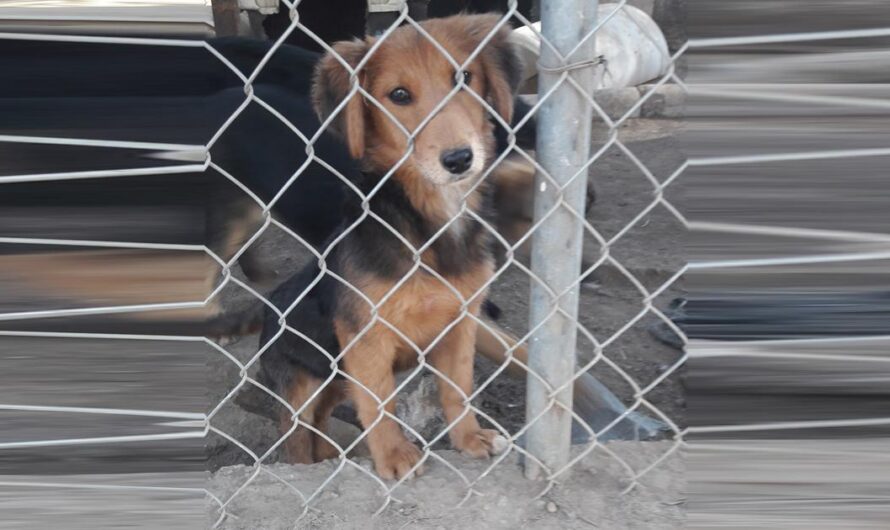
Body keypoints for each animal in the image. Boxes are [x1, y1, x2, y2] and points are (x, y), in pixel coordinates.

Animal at [256, 14, 520, 476]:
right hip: (301, 386)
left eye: (463, 78)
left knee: (321, 425)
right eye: (399, 95)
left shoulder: (460, 321)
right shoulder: (367, 336)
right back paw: (306, 467)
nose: (459, 159)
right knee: (297, 438)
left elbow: (458, 387)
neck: (430, 225)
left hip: (334, 382)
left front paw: (469, 438)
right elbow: (380, 404)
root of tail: (267, 313)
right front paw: (395, 456)